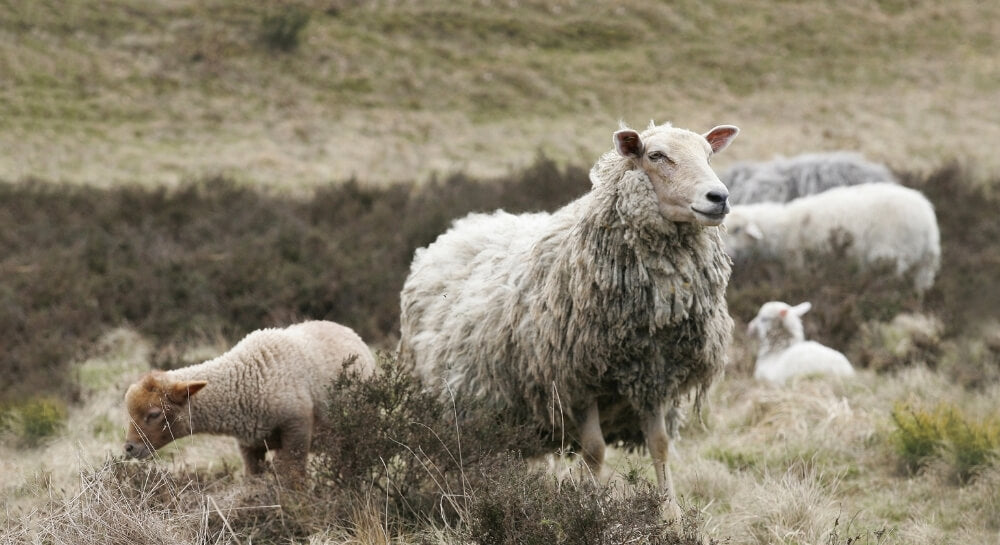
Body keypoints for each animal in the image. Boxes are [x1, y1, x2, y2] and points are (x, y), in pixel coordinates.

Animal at [123, 320, 375, 485]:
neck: (247, 380)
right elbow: (253, 480)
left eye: (154, 413)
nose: (129, 447)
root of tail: (351, 333)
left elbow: (293, 478)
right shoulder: (249, 445)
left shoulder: (297, 430)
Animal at [398, 121, 740, 515]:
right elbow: (594, 451)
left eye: (709, 154)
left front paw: (671, 514)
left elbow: (660, 444)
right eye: (656, 155)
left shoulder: (652, 376)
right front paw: (595, 509)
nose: (719, 197)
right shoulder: (576, 380)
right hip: (459, 402)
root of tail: (460, 228)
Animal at [723, 182, 940, 293]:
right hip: (925, 263)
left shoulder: (799, 263)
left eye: (737, 230)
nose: (726, 253)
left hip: (891, 254)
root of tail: (927, 222)